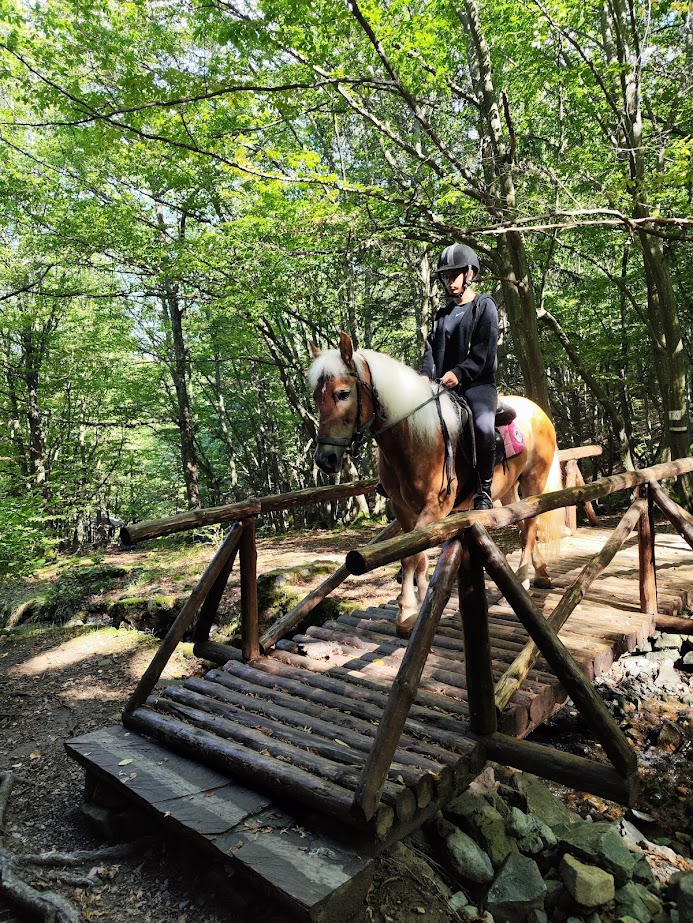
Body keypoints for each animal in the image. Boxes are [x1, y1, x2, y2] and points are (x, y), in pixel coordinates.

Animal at [309, 332, 563, 636]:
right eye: (316, 397)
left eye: (343, 393)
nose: (325, 459)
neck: (415, 437)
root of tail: (538, 411)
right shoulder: (403, 509)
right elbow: (415, 556)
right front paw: (417, 604)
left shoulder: (436, 508)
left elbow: (411, 557)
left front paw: (407, 613)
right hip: (509, 491)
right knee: (523, 523)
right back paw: (541, 573)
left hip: (534, 479)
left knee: (531, 525)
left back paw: (524, 576)